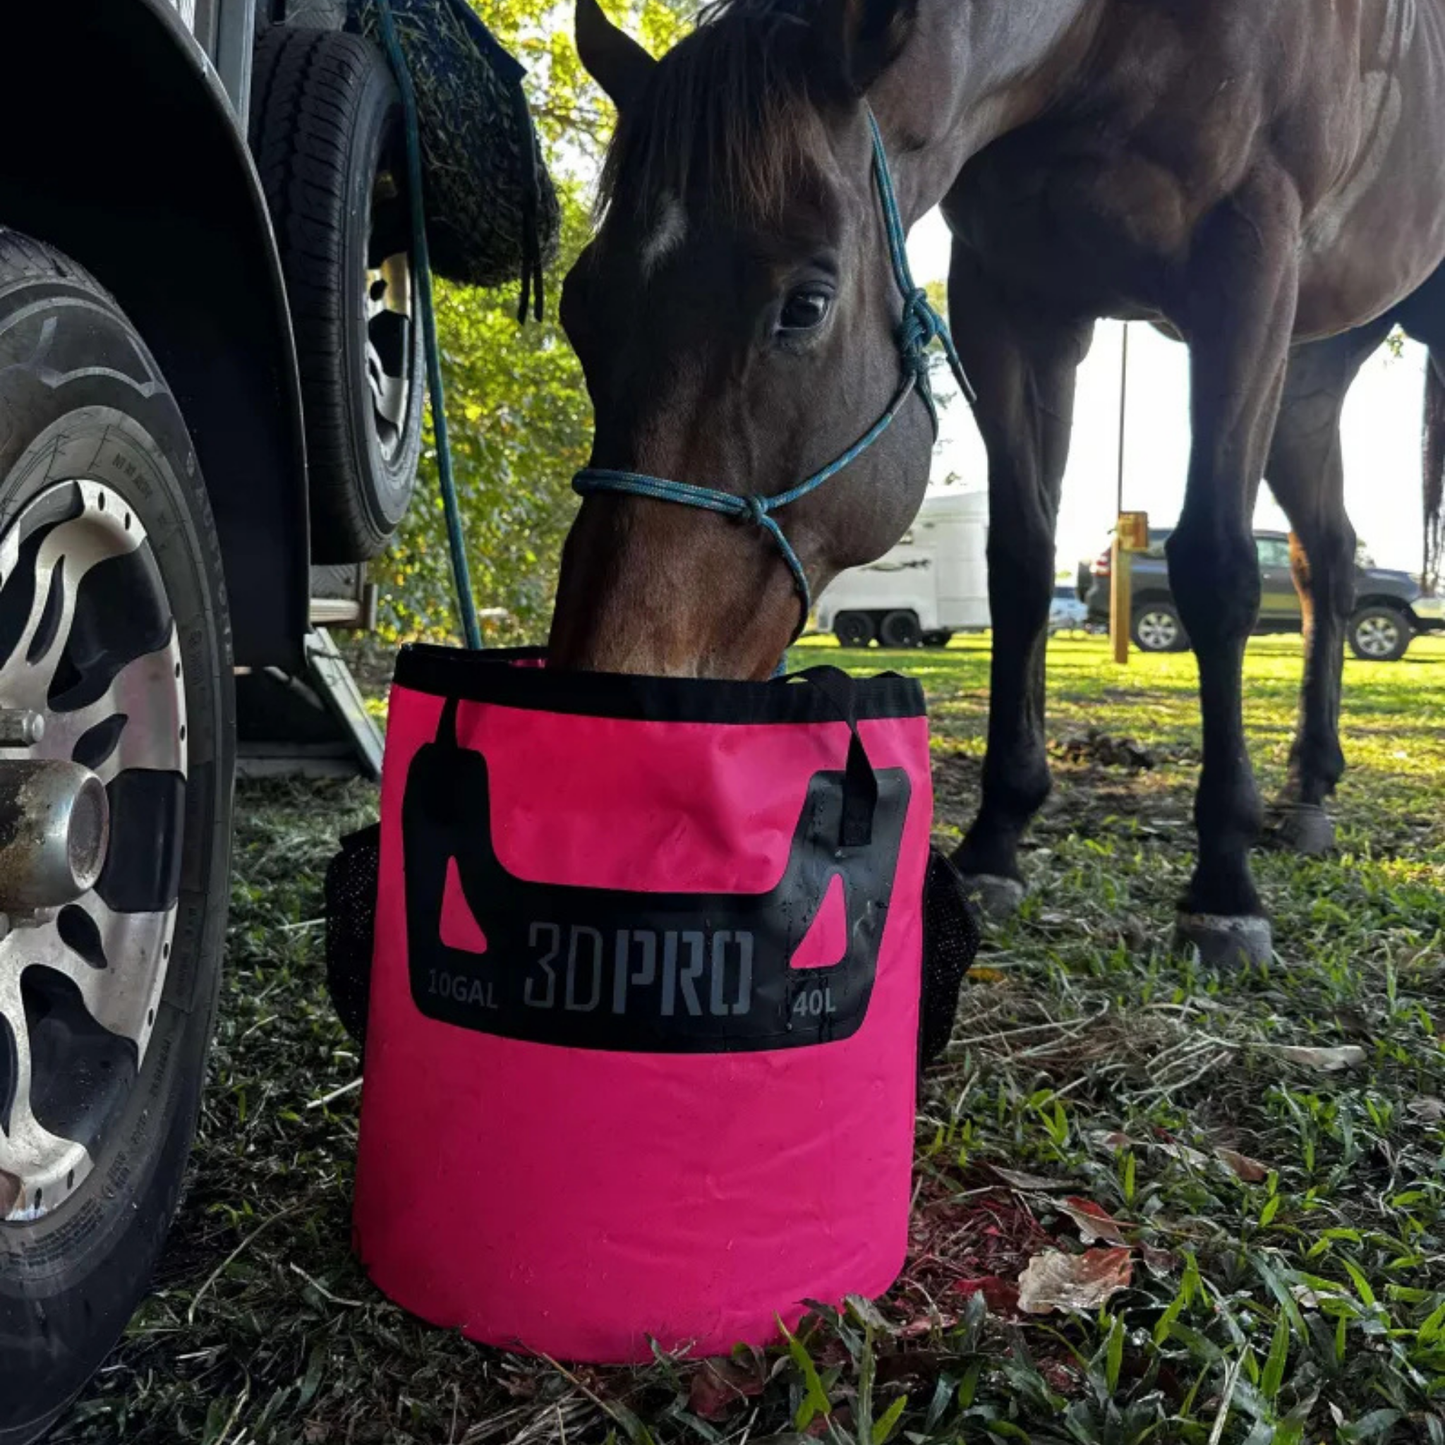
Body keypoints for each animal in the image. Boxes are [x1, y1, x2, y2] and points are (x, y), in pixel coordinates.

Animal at [548, 0, 1445, 965]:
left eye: (805, 304)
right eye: (577, 306)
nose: (606, 712)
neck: (1108, 43)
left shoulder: (1246, 272)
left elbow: (1214, 566)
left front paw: (1222, 886)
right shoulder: (1013, 304)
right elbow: (1018, 563)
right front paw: (995, 839)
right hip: (1312, 367)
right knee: (1329, 557)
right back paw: (1307, 790)